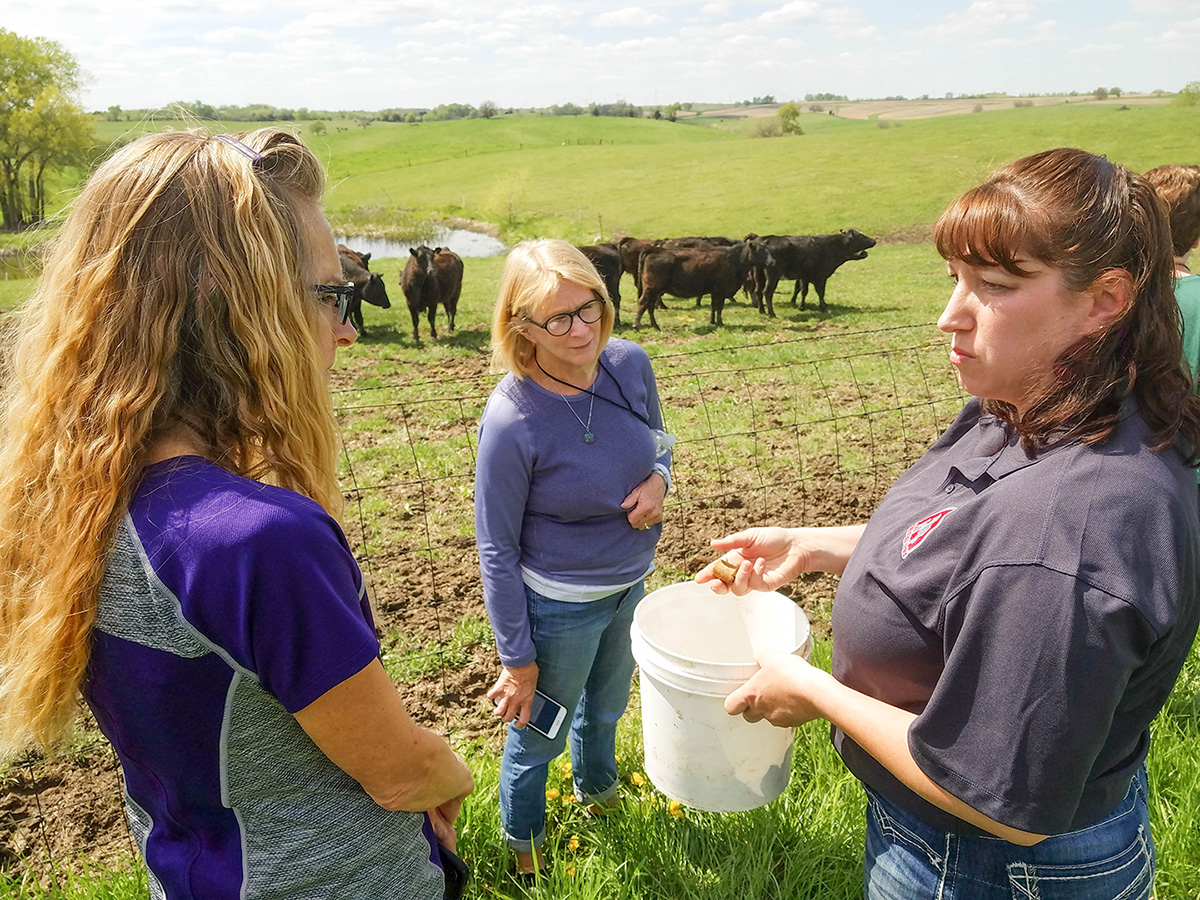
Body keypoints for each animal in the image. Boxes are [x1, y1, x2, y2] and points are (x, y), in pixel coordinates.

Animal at [633, 237, 772, 328]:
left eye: (767, 249)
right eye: (760, 250)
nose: (772, 262)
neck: (732, 258)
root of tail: (654, 249)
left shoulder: (714, 291)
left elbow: (713, 306)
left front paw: (713, 321)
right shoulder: (721, 290)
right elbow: (719, 307)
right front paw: (720, 323)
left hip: (654, 291)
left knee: (650, 306)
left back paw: (655, 325)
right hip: (651, 289)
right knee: (643, 303)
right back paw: (636, 326)